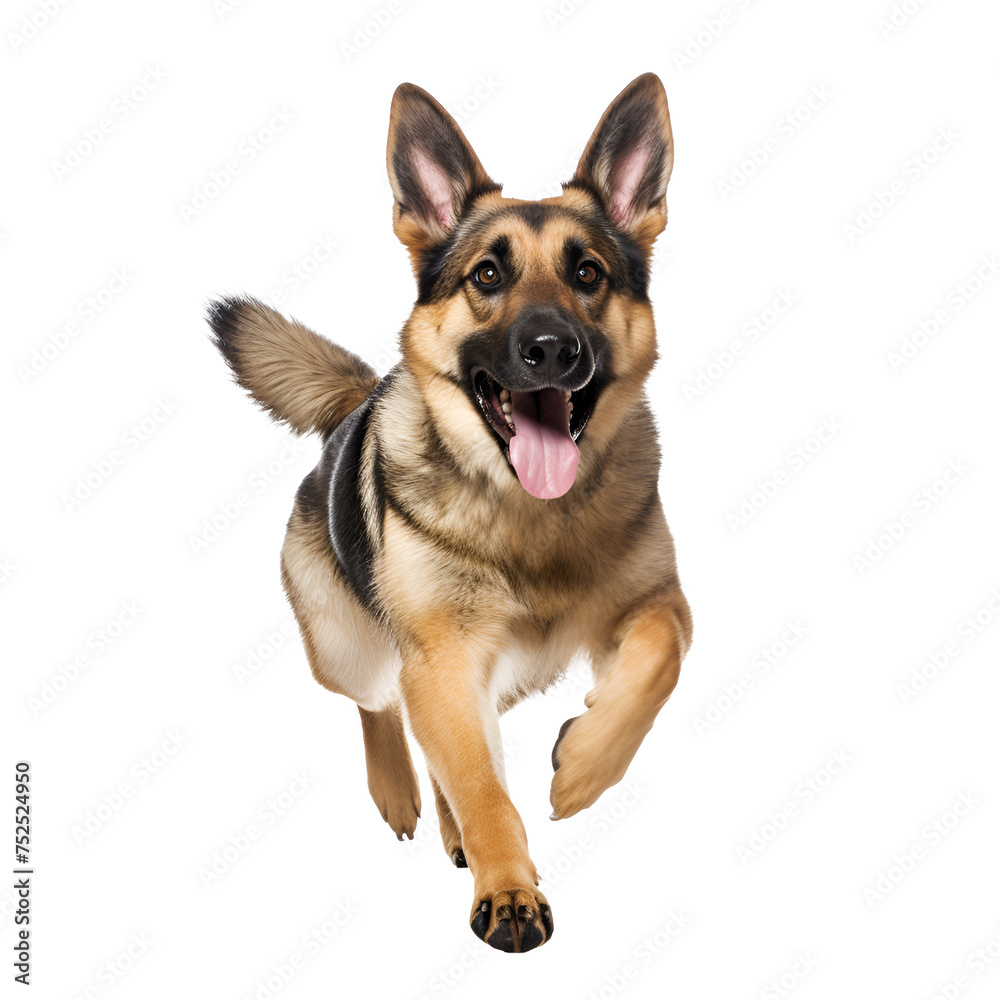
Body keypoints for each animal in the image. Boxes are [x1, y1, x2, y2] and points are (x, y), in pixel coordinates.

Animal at [207, 72, 692, 952]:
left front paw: (582, 769)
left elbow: (656, 662)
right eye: (488, 277)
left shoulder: (659, 605)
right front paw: (508, 888)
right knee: (384, 705)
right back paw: (402, 792)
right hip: (346, 644)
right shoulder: (442, 656)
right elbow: (478, 782)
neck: (530, 517)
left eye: (589, 274)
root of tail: (355, 402)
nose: (551, 350)